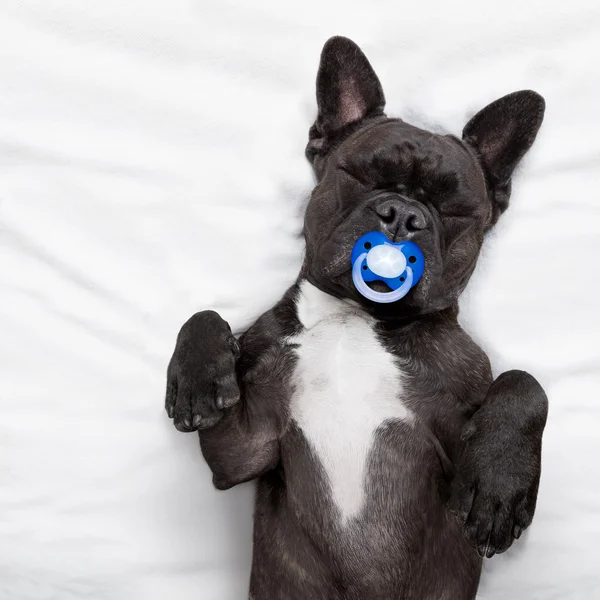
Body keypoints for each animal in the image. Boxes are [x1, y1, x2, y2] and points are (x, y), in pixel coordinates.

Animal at [164, 37, 548, 600]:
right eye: (362, 175)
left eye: (454, 208)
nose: (403, 215)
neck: (356, 319)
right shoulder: (244, 449)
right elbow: (204, 315)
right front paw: (198, 379)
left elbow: (524, 382)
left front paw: (499, 484)